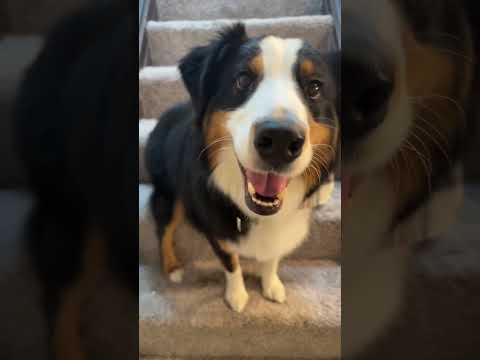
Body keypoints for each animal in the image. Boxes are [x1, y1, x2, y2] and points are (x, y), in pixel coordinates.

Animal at [144, 23, 340, 312]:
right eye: (243, 80)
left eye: (314, 87)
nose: (280, 139)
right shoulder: (218, 233)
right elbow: (231, 263)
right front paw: (237, 296)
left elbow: (272, 259)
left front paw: (271, 285)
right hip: (170, 192)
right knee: (164, 228)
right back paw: (173, 268)